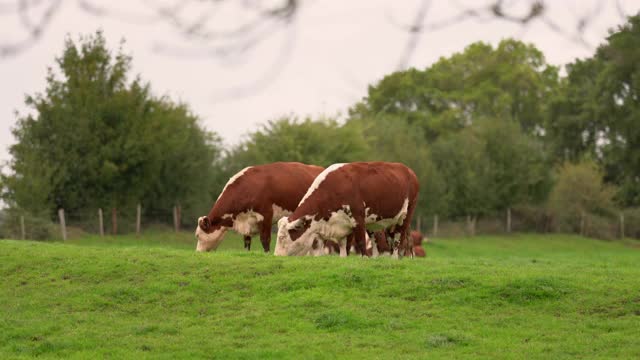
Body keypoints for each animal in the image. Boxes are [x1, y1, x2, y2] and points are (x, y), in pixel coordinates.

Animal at [194, 162, 324, 252]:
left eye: (198, 235)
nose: (197, 252)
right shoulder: (247, 221)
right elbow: (247, 241)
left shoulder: (265, 216)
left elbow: (265, 240)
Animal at [276, 162, 420, 258]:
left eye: (282, 237)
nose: (276, 256)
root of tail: (408, 170)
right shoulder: (339, 224)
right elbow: (342, 246)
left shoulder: (358, 220)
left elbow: (360, 242)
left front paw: (364, 259)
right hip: (382, 222)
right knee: (383, 239)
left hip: (406, 216)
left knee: (398, 238)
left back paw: (395, 257)